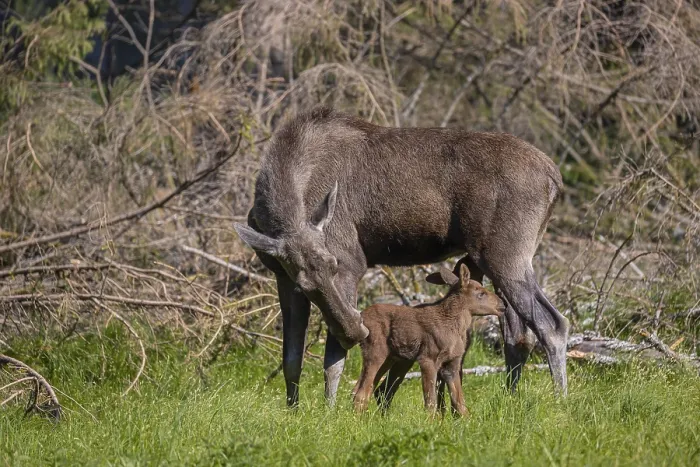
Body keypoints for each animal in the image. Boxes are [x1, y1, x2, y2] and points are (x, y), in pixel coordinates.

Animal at [353, 263, 505, 416]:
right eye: (481, 294)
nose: (502, 304)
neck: (457, 328)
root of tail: (362, 316)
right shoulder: (428, 358)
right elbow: (431, 401)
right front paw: (430, 420)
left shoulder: (452, 363)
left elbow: (459, 402)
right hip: (376, 352)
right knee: (362, 392)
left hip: (395, 359)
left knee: (370, 389)